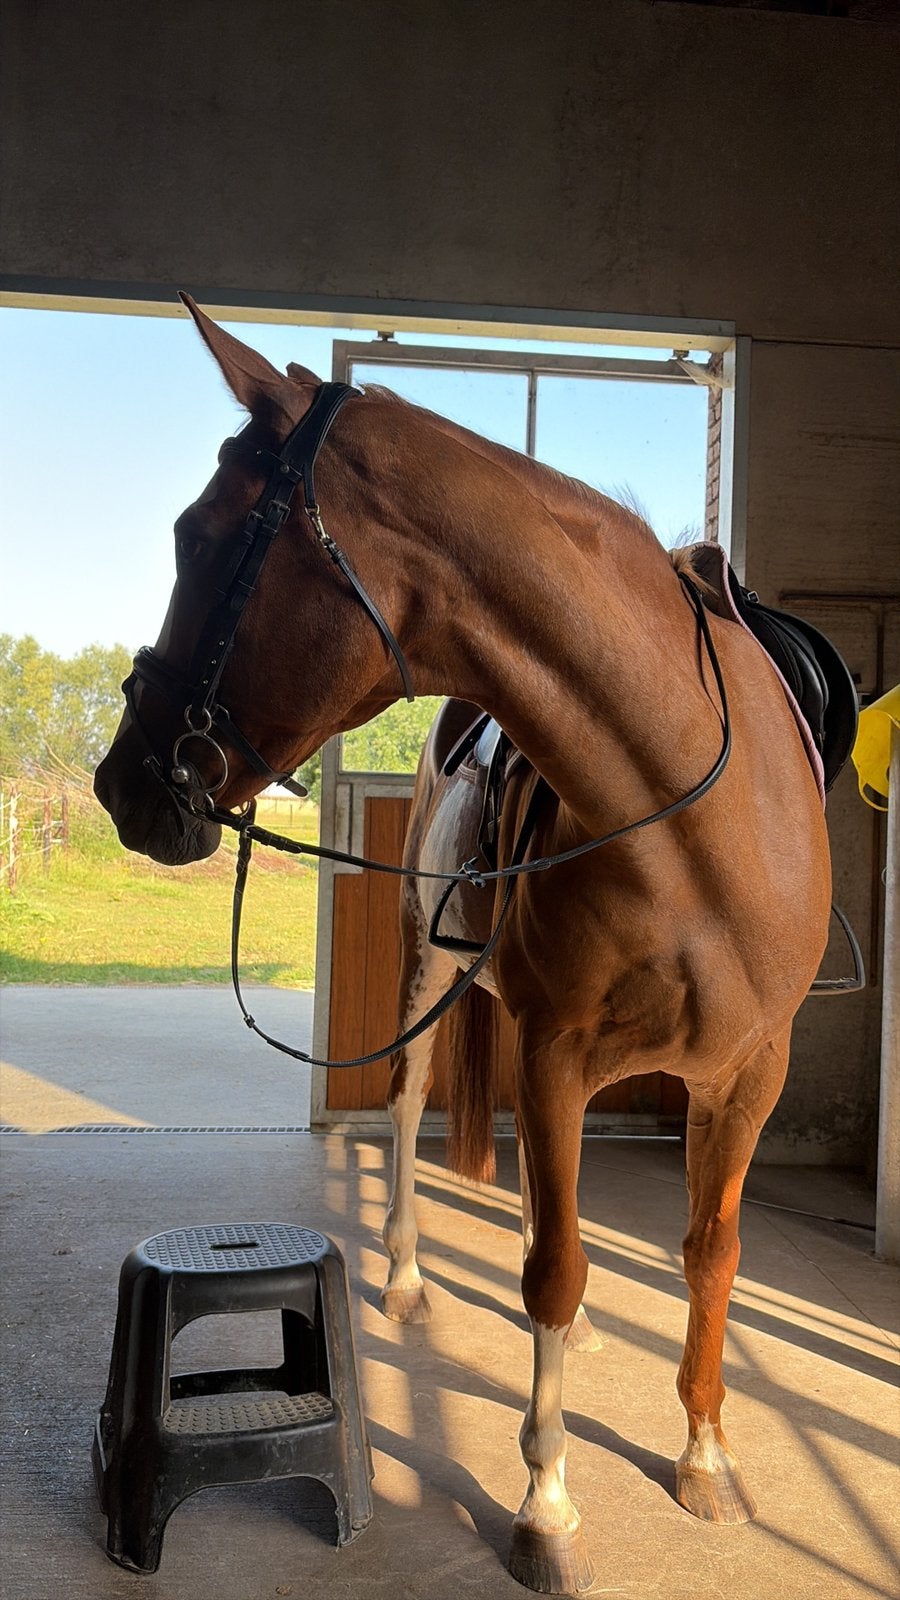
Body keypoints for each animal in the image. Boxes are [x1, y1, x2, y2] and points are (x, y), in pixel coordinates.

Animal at [94, 296, 831, 1595]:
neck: (700, 812)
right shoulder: (552, 1049)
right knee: (405, 1104)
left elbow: (708, 1251)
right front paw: (545, 1504)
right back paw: (403, 1275)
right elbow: (552, 1267)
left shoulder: (750, 1073)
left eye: (201, 536)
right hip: (435, 976)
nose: (123, 783)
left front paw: (704, 1454)